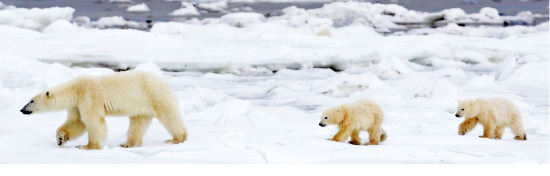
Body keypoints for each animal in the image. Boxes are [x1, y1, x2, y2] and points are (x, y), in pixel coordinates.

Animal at [20, 70, 189, 150]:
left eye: (31, 100)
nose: (22, 109)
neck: (74, 89)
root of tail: (165, 81)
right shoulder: (76, 105)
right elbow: (76, 122)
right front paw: (61, 138)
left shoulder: (88, 96)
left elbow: (93, 121)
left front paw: (87, 146)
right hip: (141, 105)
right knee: (138, 122)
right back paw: (128, 144)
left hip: (155, 95)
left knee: (169, 116)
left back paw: (176, 139)